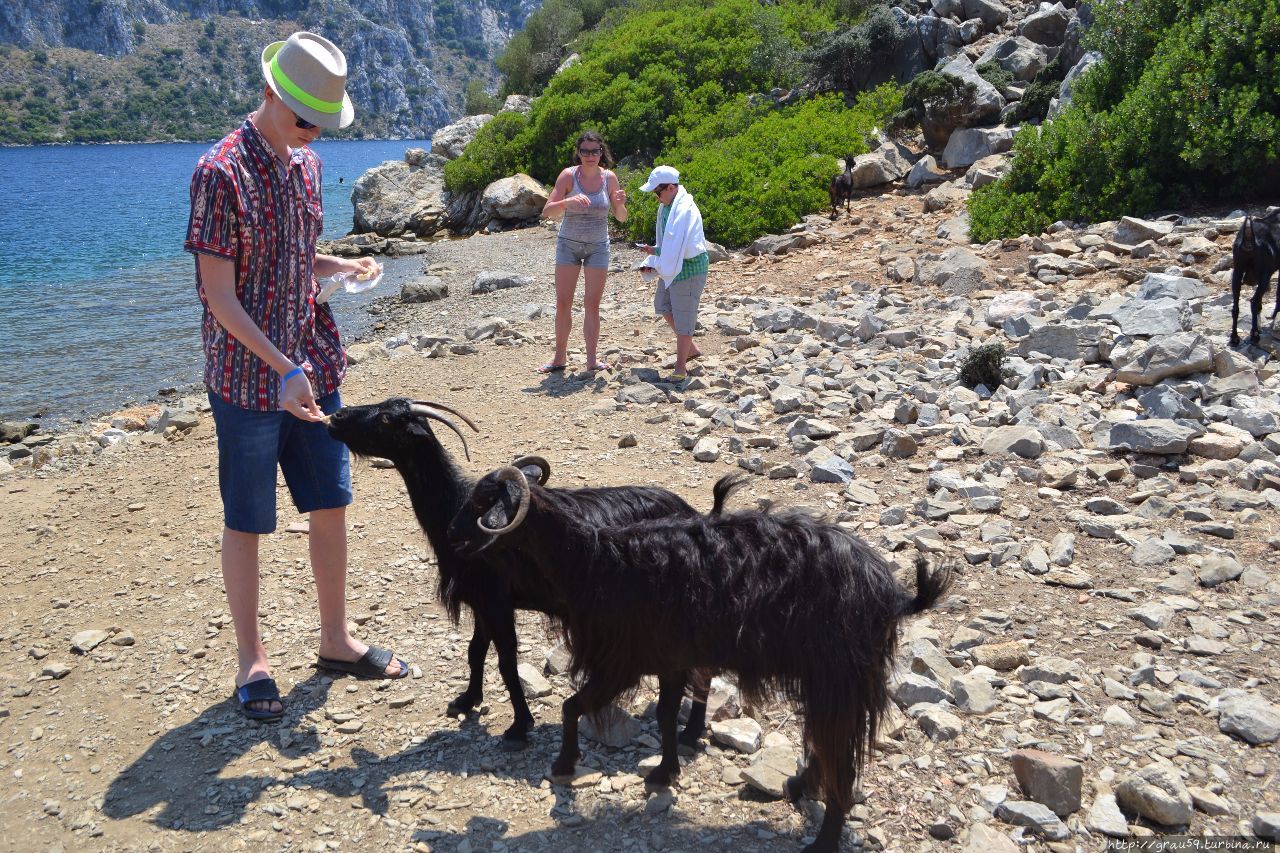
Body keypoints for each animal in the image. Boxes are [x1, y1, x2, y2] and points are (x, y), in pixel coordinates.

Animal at [325, 397, 732, 742]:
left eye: (387, 418)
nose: (337, 416)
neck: (455, 508)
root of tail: (702, 517)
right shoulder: (482, 601)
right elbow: (475, 651)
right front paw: (467, 700)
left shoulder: (497, 602)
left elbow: (507, 662)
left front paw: (520, 726)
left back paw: (690, 734)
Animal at [450, 466, 952, 850]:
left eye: (485, 505)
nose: (455, 545)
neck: (592, 560)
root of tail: (894, 595)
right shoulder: (670, 657)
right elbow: (665, 714)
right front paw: (665, 772)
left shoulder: (621, 659)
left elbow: (572, 706)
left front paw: (564, 765)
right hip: (826, 679)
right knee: (823, 743)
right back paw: (797, 787)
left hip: (839, 676)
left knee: (838, 756)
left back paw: (823, 838)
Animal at [1228, 206, 1280, 345]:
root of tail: (1249, 241)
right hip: (1264, 274)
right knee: (1254, 302)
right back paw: (1255, 335)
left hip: (1237, 271)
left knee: (1236, 307)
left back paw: (1234, 337)